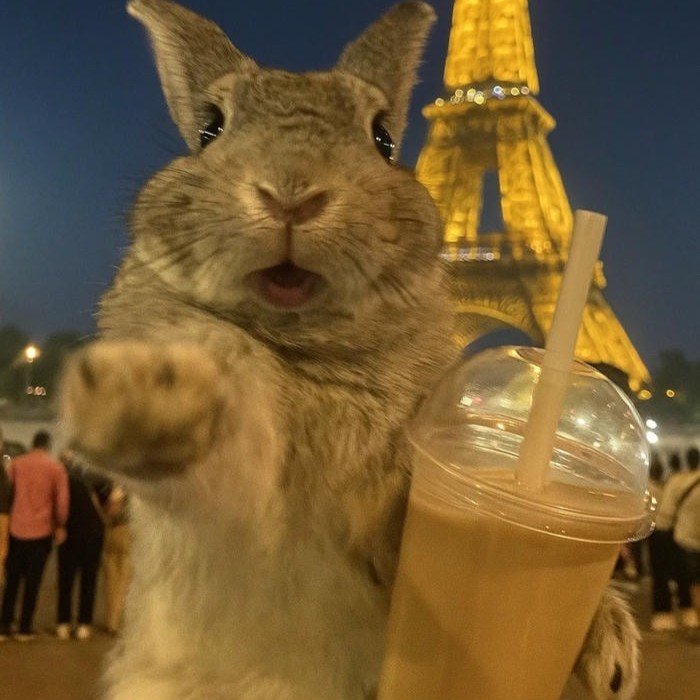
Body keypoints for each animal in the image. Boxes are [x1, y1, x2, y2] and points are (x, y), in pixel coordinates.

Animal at [59, 1, 640, 698]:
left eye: (384, 138)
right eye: (210, 128)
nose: (291, 193)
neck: (310, 346)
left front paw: (608, 645)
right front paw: (142, 401)